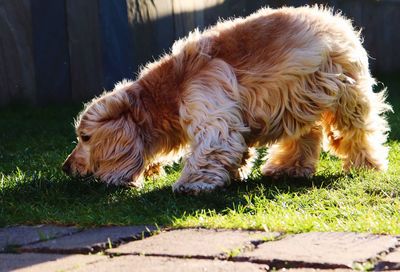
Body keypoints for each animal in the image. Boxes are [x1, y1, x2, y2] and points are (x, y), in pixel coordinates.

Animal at [61, 5, 390, 193]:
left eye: (85, 137)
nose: (65, 167)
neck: (167, 91)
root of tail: (336, 19)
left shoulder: (213, 116)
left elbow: (209, 150)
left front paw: (192, 185)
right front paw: (234, 173)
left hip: (345, 95)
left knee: (358, 132)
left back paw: (366, 164)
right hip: (300, 99)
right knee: (306, 134)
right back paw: (288, 168)